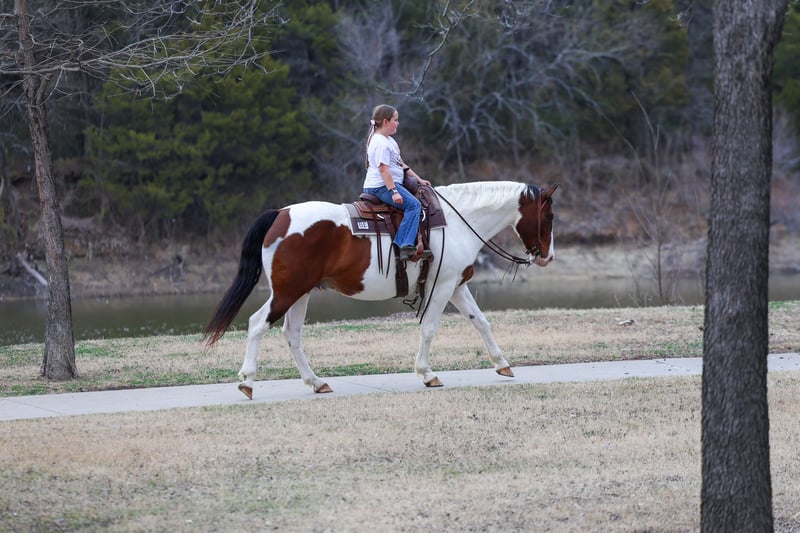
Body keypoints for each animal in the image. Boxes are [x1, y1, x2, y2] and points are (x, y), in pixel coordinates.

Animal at [203, 180, 559, 399]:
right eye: (549, 216)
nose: (547, 256)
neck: (458, 222)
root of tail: (280, 214)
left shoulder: (456, 285)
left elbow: (480, 322)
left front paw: (502, 364)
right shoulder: (442, 286)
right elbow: (429, 328)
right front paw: (427, 373)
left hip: (301, 293)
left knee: (292, 335)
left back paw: (316, 382)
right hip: (287, 292)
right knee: (257, 324)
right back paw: (248, 381)